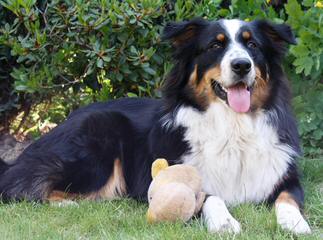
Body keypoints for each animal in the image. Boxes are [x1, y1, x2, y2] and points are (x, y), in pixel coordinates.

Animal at [0, 18, 314, 234]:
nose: (241, 65)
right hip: (97, 144)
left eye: (253, 45)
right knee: (18, 186)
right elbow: (209, 197)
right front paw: (224, 222)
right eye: (215, 45)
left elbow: (287, 198)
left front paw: (295, 223)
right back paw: (69, 203)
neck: (232, 126)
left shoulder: (285, 178)